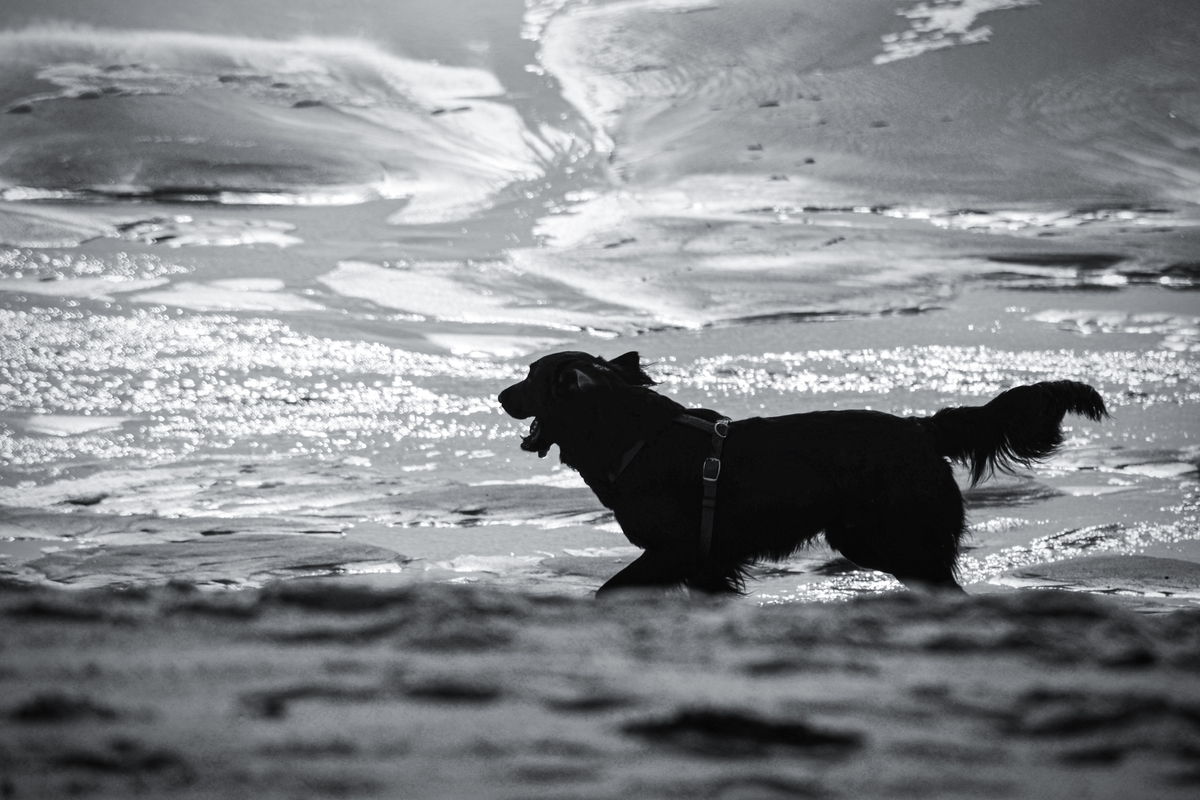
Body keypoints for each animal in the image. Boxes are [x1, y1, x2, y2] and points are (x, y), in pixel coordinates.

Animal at [496, 350, 1104, 594]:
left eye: (529, 375)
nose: (500, 395)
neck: (630, 435)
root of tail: (921, 429)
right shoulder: (708, 564)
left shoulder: (677, 551)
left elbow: (608, 591)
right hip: (869, 540)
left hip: (898, 539)